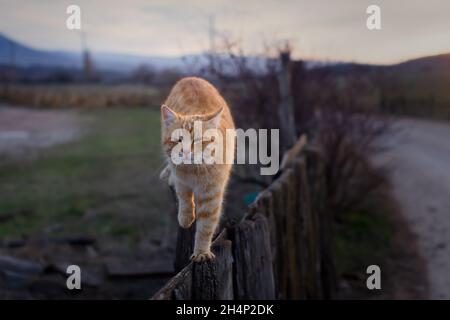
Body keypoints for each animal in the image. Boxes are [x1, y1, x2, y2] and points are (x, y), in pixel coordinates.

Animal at [160, 76, 236, 262]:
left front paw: (201, 252)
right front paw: (186, 218)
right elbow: (184, 198)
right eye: (179, 139)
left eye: (198, 140)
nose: (186, 151)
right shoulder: (181, 181)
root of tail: (191, 78)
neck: (193, 171)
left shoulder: (212, 195)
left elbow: (205, 227)